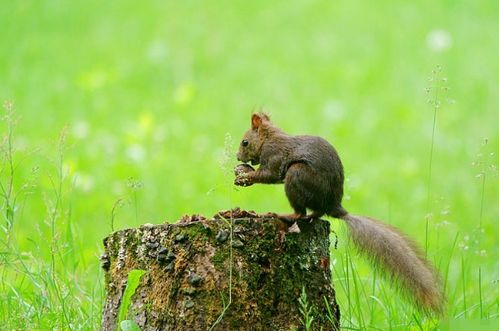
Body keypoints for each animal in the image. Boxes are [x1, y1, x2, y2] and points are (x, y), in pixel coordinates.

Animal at [234, 113, 446, 316]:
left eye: (245, 142)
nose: (237, 157)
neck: (269, 138)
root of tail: (334, 206)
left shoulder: (274, 155)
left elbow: (269, 174)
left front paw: (246, 177)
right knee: (315, 214)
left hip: (297, 174)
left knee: (300, 212)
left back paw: (286, 215)